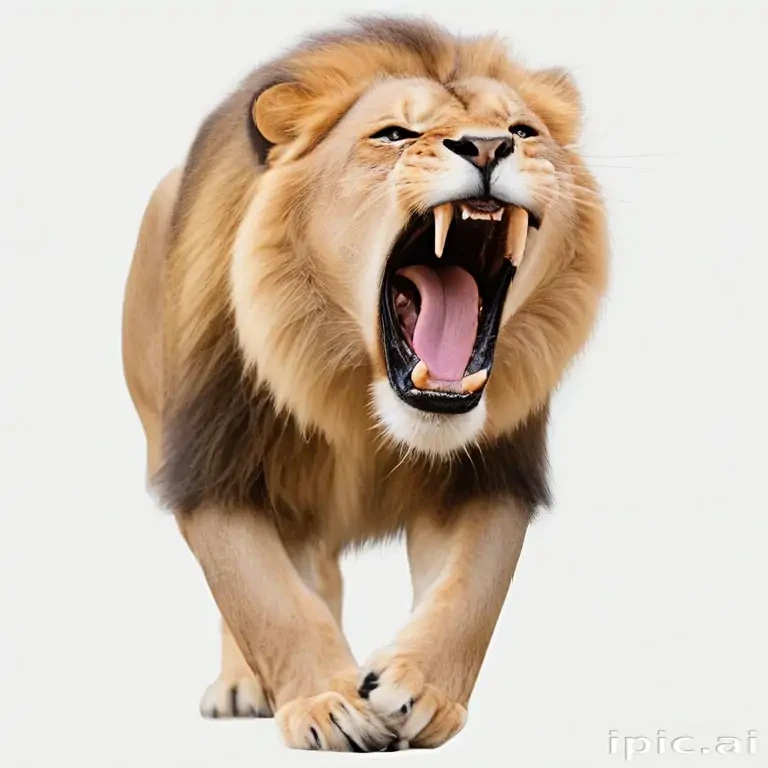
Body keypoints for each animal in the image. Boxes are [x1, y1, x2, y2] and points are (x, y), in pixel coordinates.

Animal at [122, 16, 608, 751]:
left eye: (522, 130)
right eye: (396, 134)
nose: (488, 146)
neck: (359, 393)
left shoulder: (490, 473)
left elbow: (471, 592)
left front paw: (419, 691)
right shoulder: (213, 462)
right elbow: (265, 599)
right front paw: (327, 705)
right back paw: (243, 685)